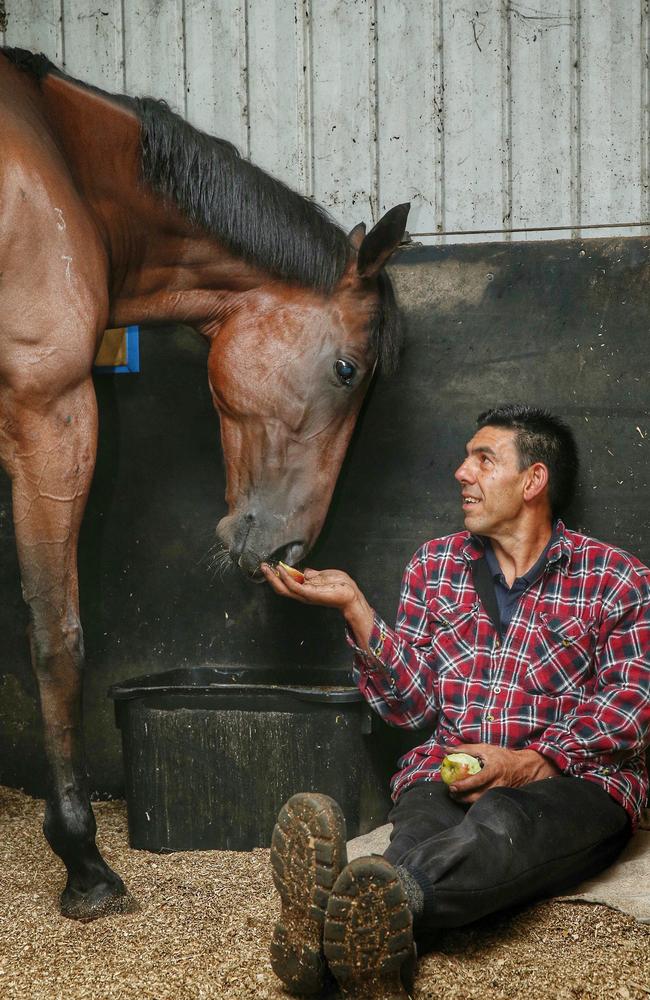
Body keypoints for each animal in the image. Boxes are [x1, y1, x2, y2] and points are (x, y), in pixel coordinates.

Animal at [0, 48, 404, 920]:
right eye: (345, 370)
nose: (289, 549)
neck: (64, 164)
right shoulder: (52, 413)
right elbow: (56, 634)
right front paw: (82, 858)